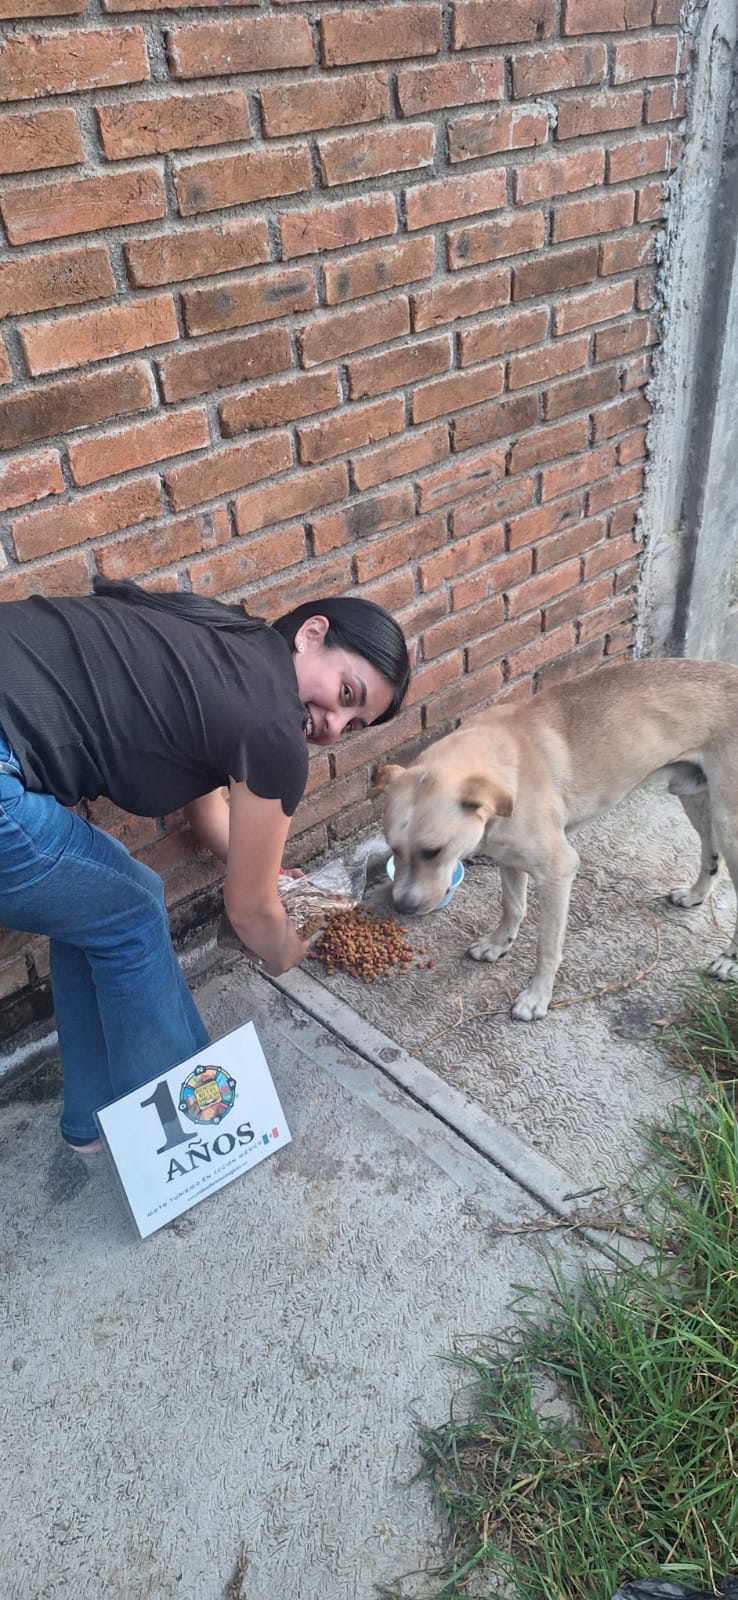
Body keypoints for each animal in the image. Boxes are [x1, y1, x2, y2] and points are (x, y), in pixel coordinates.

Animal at [376, 656, 736, 1017]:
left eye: (433, 851)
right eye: (393, 848)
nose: (403, 907)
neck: (507, 770)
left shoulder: (557, 871)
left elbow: (546, 946)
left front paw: (537, 997)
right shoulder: (508, 858)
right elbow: (512, 906)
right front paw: (499, 943)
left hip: (728, 824)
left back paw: (729, 960)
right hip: (695, 797)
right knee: (711, 856)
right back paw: (696, 895)